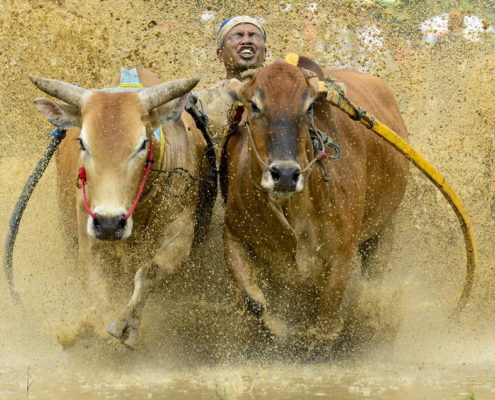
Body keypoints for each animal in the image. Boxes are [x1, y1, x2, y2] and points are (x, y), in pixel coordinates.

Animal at [30, 66, 216, 346]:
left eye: (142, 143)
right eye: (83, 142)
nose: (109, 223)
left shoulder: (180, 236)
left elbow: (149, 272)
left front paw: (125, 325)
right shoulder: (89, 240)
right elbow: (98, 293)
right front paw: (88, 327)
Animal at [223, 59, 408, 354]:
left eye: (307, 107)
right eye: (254, 105)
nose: (285, 174)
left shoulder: (340, 256)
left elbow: (325, 322)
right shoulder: (234, 233)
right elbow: (254, 301)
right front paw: (278, 330)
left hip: (384, 229)